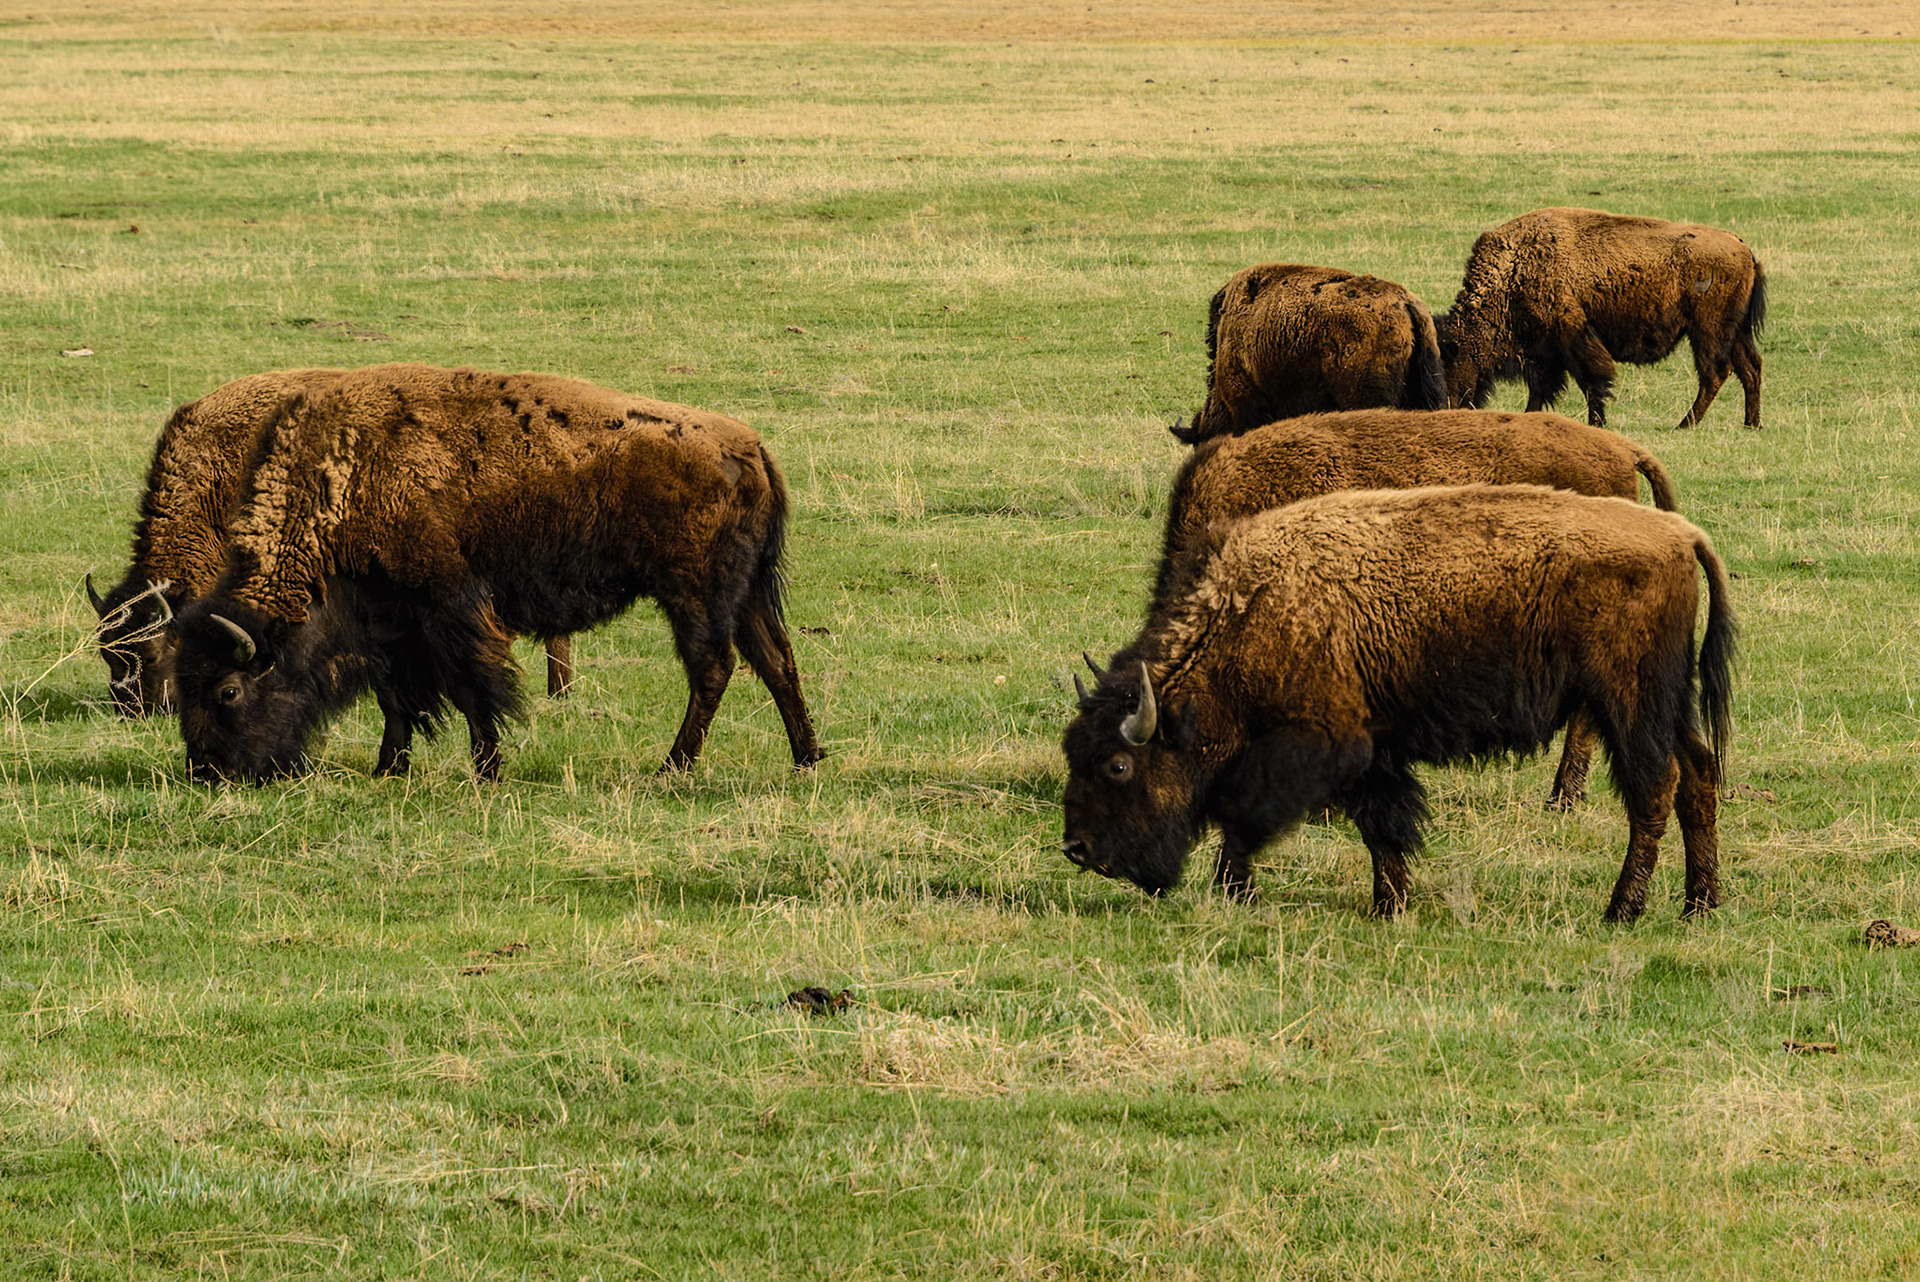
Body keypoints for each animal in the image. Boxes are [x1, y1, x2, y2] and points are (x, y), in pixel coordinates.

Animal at [171, 364, 823, 782]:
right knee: (776, 661)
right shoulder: (388, 624)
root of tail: (750, 446)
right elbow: (395, 698)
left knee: (713, 668)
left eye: (228, 690)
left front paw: (487, 769)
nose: (207, 771)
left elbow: (472, 688)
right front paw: (389, 769)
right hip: (744, 594)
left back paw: (672, 767)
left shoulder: (448, 608)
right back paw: (806, 758)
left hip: (694, 594)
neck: (346, 478)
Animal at [1063, 485, 1734, 921]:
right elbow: (1383, 827)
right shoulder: (1374, 748)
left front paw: (1239, 891)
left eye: (1118, 766)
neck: (1254, 609)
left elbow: (1253, 816)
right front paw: (1391, 904)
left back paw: (1623, 909)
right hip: (1666, 703)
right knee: (1698, 777)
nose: (1077, 849)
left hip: (1629, 701)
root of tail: (1683, 536)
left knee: (1655, 790)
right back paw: (1699, 904)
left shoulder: (1324, 744)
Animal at [1437, 207, 1766, 430]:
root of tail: (1743, 248)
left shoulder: (1572, 337)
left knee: (1714, 373)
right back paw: (1751, 423)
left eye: (1450, 361)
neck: (1515, 268)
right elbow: (1542, 387)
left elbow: (1591, 380)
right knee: (1749, 368)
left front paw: (1596, 422)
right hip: (1735, 331)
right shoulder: (1544, 350)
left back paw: (1685, 424)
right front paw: (1531, 417)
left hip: (1707, 330)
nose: (1445, 409)